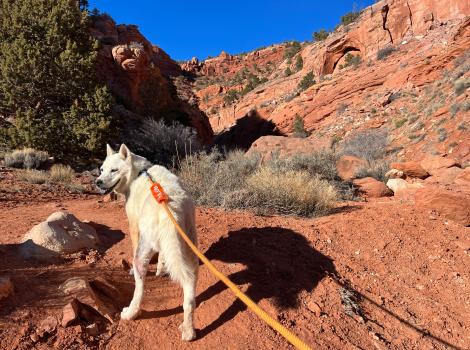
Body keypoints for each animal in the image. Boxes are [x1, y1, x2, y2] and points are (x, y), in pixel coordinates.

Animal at [95, 144, 198, 340]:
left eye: (114, 170)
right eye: (102, 169)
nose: (98, 182)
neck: (139, 173)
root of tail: (170, 210)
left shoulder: (134, 227)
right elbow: (163, 257)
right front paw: (161, 270)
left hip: (142, 255)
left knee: (139, 288)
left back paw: (130, 313)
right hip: (191, 249)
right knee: (189, 291)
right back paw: (189, 331)